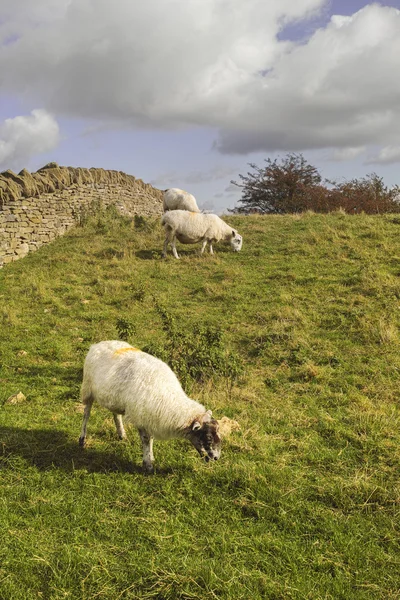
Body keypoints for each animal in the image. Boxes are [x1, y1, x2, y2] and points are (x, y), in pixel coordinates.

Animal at [78, 340, 222, 472]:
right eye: (208, 437)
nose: (216, 458)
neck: (169, 400)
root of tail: (98, 344)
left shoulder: (150, 417)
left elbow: (151, 438)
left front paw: (151, 458)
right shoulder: (142, 417)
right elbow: (146, 439)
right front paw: (148, 465)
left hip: (114, 398)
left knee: (116, 415)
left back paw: (122, 434)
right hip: (88, 389)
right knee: (86, 414)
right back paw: (82, 439)